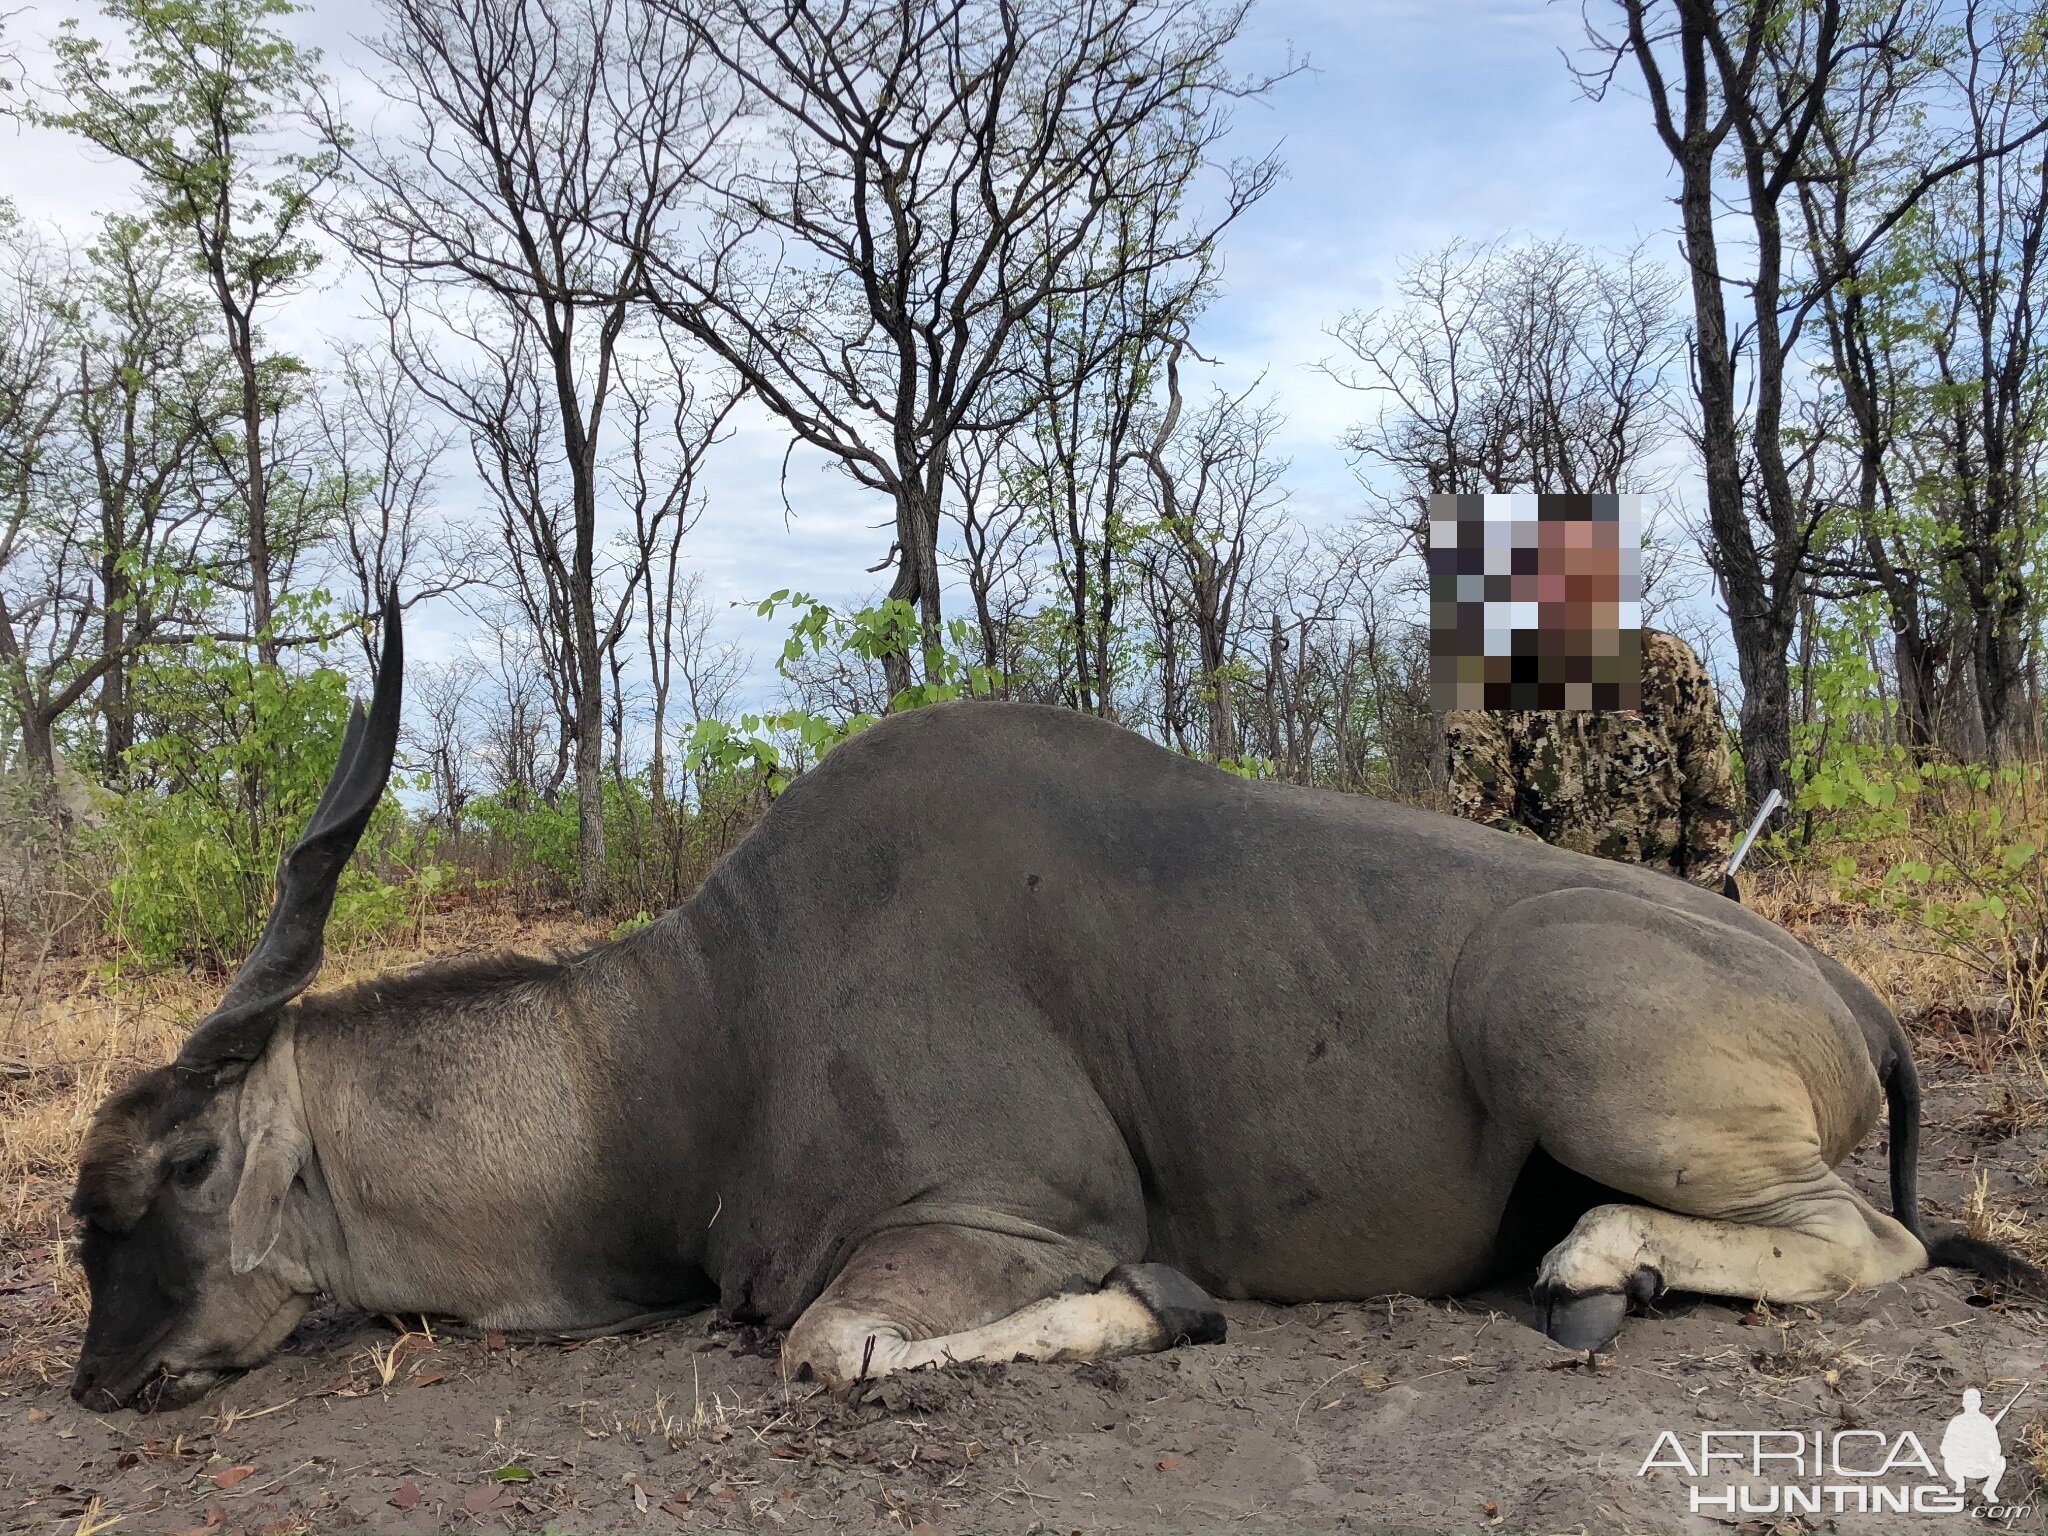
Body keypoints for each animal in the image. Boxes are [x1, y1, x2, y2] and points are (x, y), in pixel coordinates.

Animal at [68, 606, 2031, 1417]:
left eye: (181, 1172)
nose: (99, 1385)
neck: (690, 1040)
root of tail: (1839, 982)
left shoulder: (1005, 1219)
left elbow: (833, 1349)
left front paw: (1165, 1309)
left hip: (1552, 1019)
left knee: (1870, 1246)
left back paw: (1599, 1260)